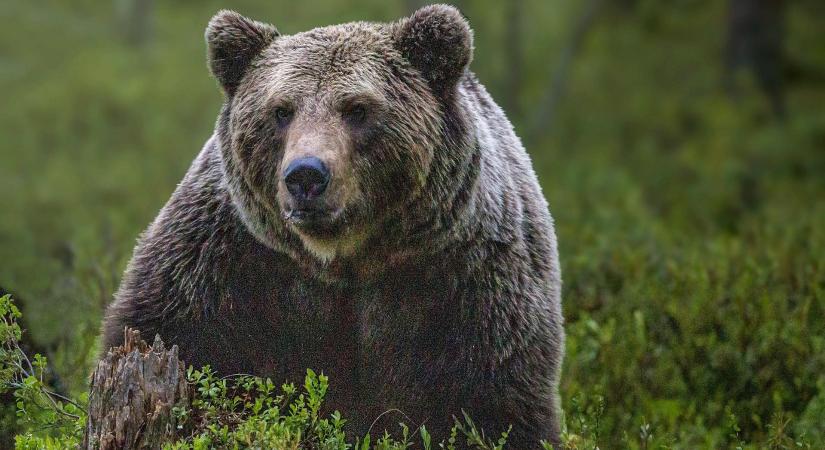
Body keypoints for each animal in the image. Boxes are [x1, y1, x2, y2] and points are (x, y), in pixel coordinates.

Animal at [101, 5, 568, 448]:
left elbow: (493, 399)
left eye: (357, 109)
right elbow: (173, 334)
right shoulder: (226, 260)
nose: (306, 175)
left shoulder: (465, 278)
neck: (345, 258)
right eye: (281, 110)